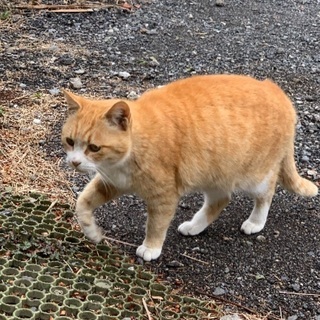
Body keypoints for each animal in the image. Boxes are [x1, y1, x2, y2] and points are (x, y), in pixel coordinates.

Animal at [60, 74, 318, 260]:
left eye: (94, 147)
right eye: (70, 141)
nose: (74, 162)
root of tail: (275, 89)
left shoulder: (164, 195)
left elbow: (156, 224)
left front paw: (151, 247)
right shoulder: (111, 182)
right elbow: (82, 202)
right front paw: (91, 231)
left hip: (254, 176)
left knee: (267, 192)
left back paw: (255, 222)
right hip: (214, 175)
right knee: (220, 200)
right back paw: (195, 226)